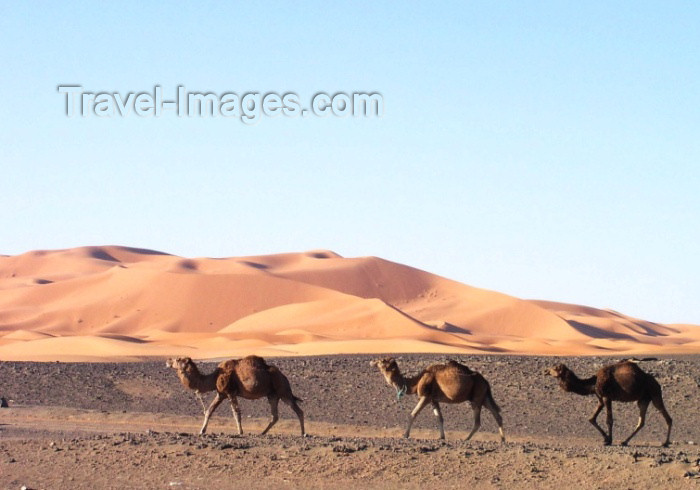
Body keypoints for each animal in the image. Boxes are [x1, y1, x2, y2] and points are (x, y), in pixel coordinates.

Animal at [167, 356, 306, 436]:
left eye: (178, 359)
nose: (168, 361)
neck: (214, 377)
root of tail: (284, 376)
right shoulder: (221, 394)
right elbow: (209, 411)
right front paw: (201, 431)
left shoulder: (230, 392)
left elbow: (236, 413)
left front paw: (240, 432)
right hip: (272, 395)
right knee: (275, 416)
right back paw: (262, 433)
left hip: (283, 390)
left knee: (298, 410)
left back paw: (303, 433)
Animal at [370, 358, 506, 442]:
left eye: (382, 361)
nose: (372, 361)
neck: (416, 381)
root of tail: (485, 381)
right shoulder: (433, 399)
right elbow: (439, 417)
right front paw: (441, 437)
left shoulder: (425, 396)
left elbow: (413, 414)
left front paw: (405, 435)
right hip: (484, 397)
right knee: (497, 415)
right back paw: (502, 440)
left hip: (476, 398)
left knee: (478, 422)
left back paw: (466, 439)